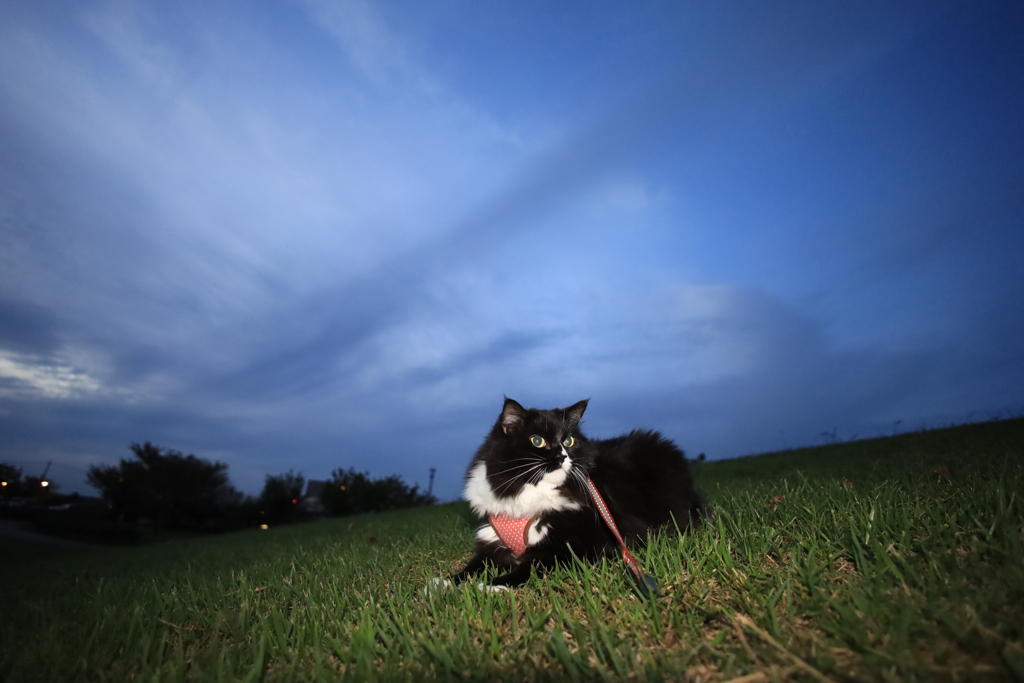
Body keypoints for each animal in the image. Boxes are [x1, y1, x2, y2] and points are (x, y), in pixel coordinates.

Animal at [452, 397, 708, 589]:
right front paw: (447, 584)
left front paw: (495, 584)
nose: (563, 456)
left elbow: (530, 566)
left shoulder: (579, 546)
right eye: (537, 441)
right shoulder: (492, 542)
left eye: (568, 441)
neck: (529, 493)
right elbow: (471, 568)